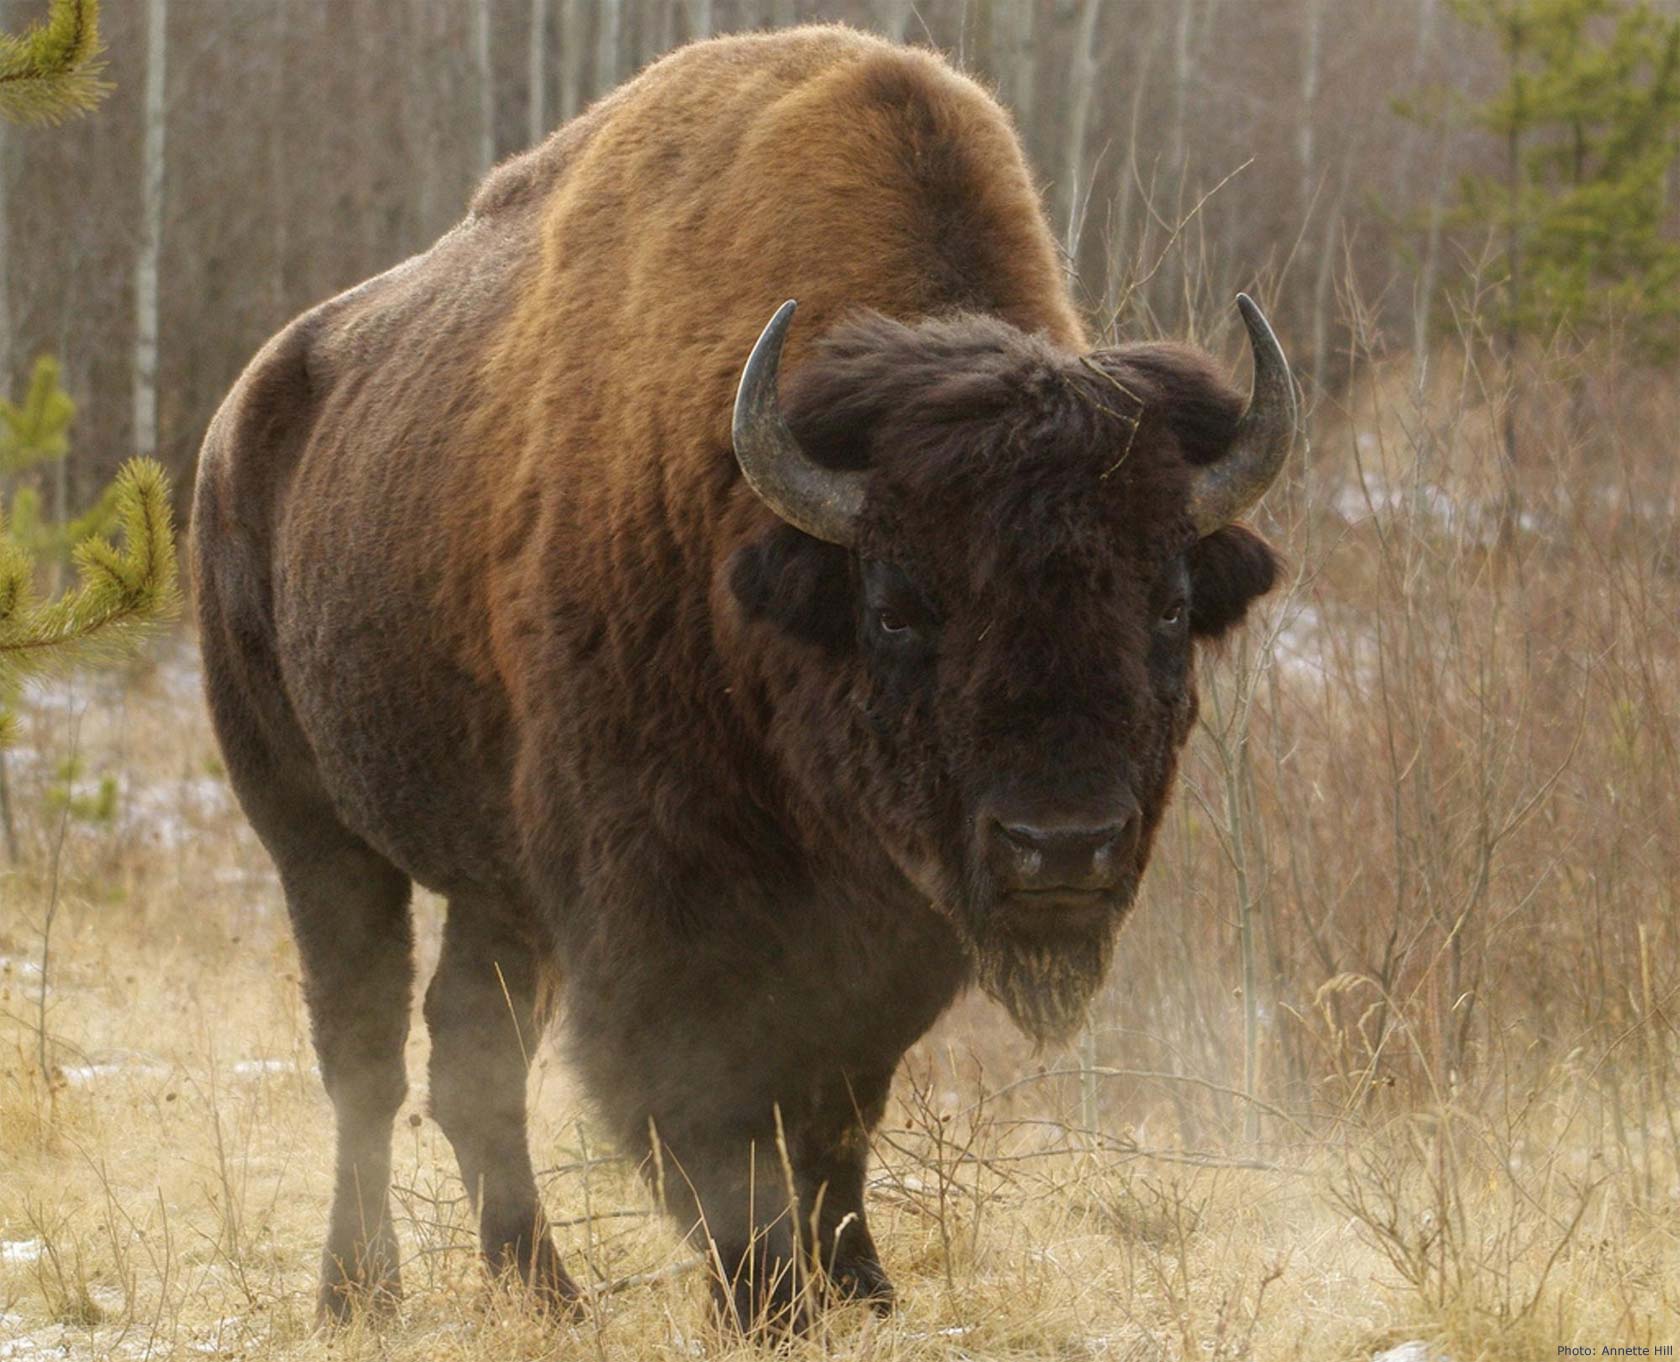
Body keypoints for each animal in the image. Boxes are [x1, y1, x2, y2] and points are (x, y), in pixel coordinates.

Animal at [193, 23, 1296, 1330]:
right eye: (897, 606)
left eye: (1168, 602)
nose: (1062, 846)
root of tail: (239, 424)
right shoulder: (661, 895)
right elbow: (709, 1105)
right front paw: (768, 1297)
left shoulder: (891, 919)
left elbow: (839, 1104)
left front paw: (861, 1285)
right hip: (309, 825)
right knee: (361, 1050)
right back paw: (359, 1291)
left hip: (496, 880)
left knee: (471, 1053)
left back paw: (548, 1291)